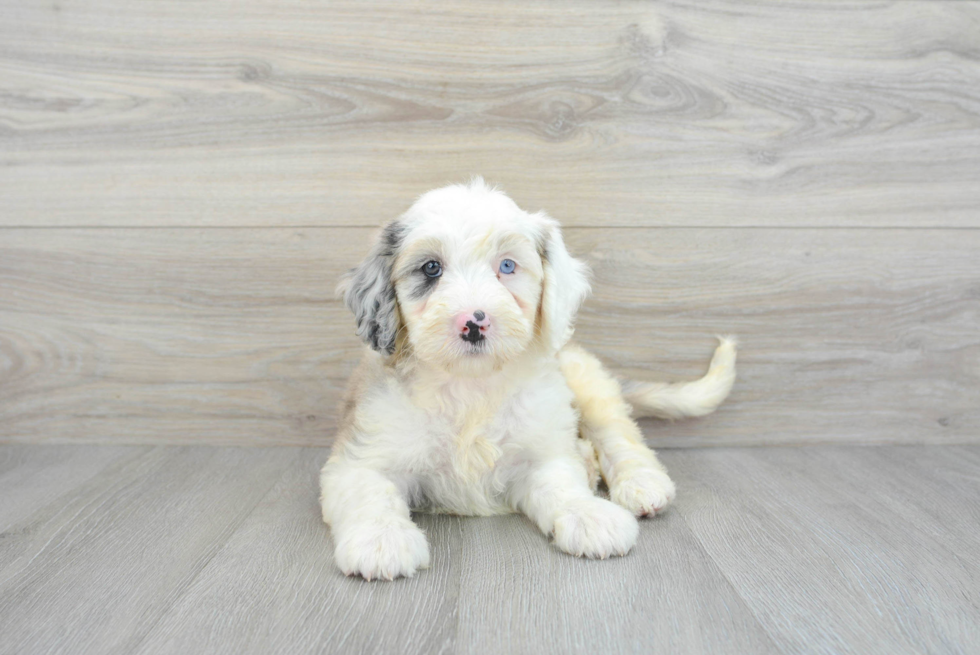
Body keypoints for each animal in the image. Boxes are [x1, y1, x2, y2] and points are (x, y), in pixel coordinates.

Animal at [322, 178, 736, 580]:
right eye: (431, 269)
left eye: (507, 265)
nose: (474, 323)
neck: (472, 388)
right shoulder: (364, 452)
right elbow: (369, 491)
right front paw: (381, 539)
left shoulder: (542, 451)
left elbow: (562, 483)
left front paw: (590, 515)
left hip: (586, 382)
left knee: (619, 436)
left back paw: (641, 483)